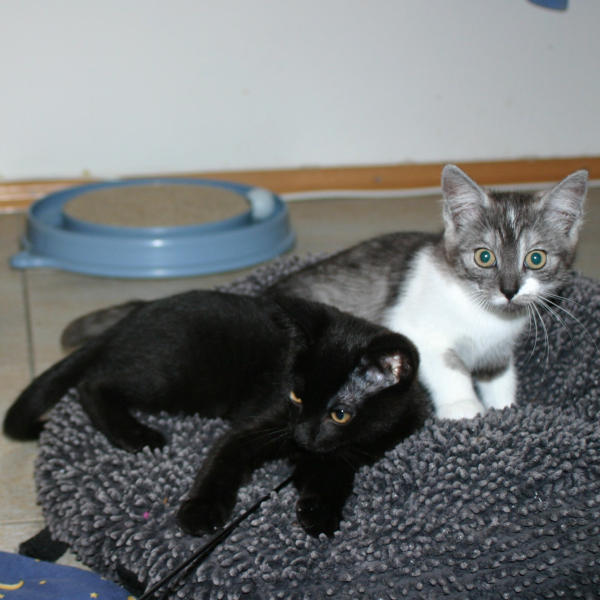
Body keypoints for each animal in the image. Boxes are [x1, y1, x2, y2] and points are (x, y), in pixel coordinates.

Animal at [4, 291, 428, 537]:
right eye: (295, 395)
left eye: (340, 414)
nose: (301, 436)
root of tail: (132, 317)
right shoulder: (259, 423)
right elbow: (222, 461)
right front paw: (201, 511)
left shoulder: (354, 451)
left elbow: (335, 474)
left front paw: (319, 511)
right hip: (172, 375)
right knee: (93, 384)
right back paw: (135, 435)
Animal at [56, 165, 588, 420]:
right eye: (484, 257)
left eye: (536, 259)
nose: (510, 290)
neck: (482, 313)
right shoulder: (415, 328)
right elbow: (447, 367)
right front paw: (465, 411)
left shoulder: (500, 350)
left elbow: (501, 378)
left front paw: (504, 412)